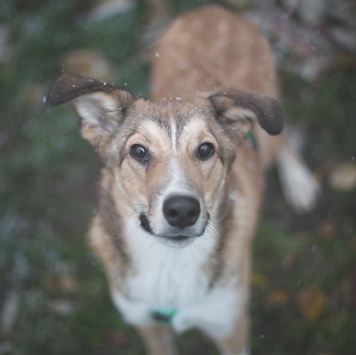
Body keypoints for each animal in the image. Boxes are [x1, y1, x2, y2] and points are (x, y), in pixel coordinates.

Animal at [48, 4, 320, 355]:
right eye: (138, 151)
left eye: (206, 149)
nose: (181, 211)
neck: (169, 266)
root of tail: (212, 9)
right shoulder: (147, 325)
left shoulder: (230, 325)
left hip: (268, 111)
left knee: (282, 137)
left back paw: (299, 182)